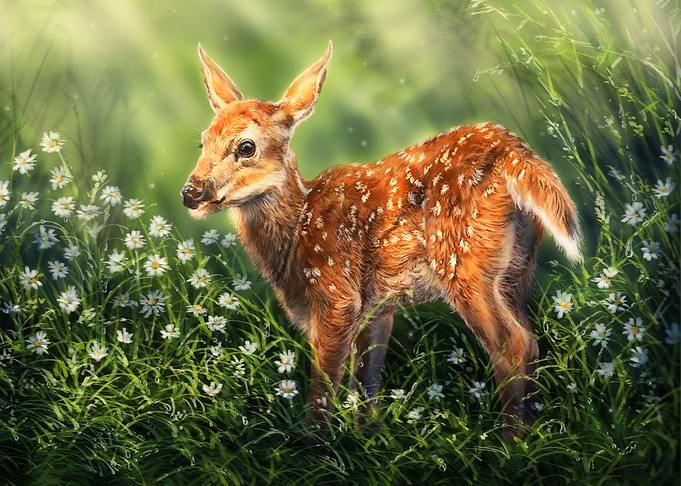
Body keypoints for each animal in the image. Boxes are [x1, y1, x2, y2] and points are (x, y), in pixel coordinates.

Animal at [181, 41, 582, 440]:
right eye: (202, 142)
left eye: (246, 147)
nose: (191, 192)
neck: (298, 231)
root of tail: (514, 155)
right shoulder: (375, 311)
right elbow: (366, 385)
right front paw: (367, 438)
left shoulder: (338, 297)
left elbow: (323, 386)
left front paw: (315, 443)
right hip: (517, 268)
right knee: (531, 338)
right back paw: (532, 428)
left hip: (464, 262)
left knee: (513, 343)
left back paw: (509, 442)